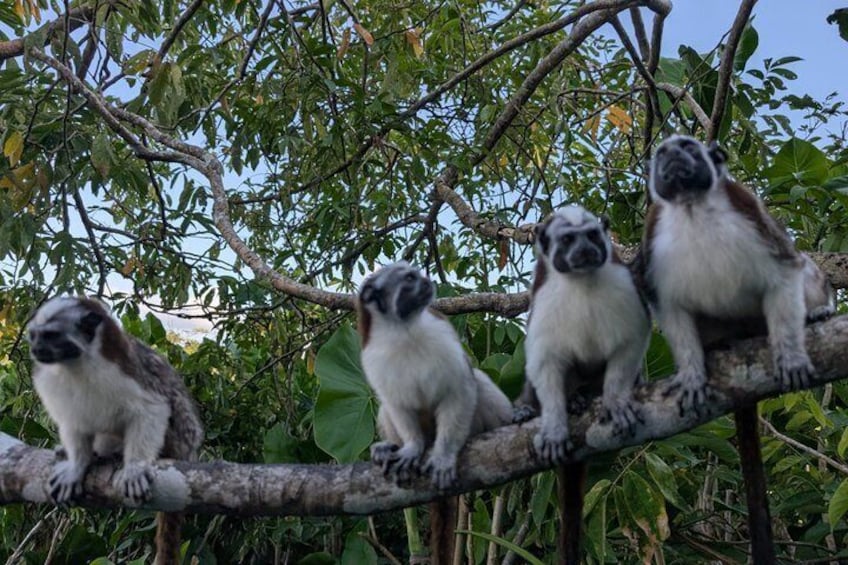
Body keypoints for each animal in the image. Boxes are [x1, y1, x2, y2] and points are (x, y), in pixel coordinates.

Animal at [26, 296, 204, 565]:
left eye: (51, 335)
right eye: (34, 336)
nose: (36, 350)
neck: (78, 365)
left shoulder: (124, 371)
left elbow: (152, 409)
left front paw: (134, 468)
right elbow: (74, 423)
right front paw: (77, 464)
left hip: (181, 440)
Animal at [356, 262, 514, 564]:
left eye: (417, 274)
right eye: (409, 279)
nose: (428, 283)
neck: (402, 331)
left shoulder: (443, 340)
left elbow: (458, 391)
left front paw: (443, 456)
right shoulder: (375, 359)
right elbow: (397, 406)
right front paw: (411, 447)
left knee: (477, 380)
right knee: (385, 408)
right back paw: (390, 447)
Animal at [523, 204, 651, 564]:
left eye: (592, 236)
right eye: (568, 240)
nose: (585, 251)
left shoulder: (622, 282)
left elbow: (630, 340)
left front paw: (616, 402)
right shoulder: (545, 292)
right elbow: (544, 359)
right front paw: (553, 421)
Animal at [640, 134, 835, 563]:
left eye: (687, 147)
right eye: (663, 153)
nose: (673, 155)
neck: (692, 208)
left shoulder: (747, 209)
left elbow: (786, 268)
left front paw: (790, 353)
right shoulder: (654, 233)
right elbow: (670, 306)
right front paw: (692, 375)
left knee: (805, 272)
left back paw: (816, 313)